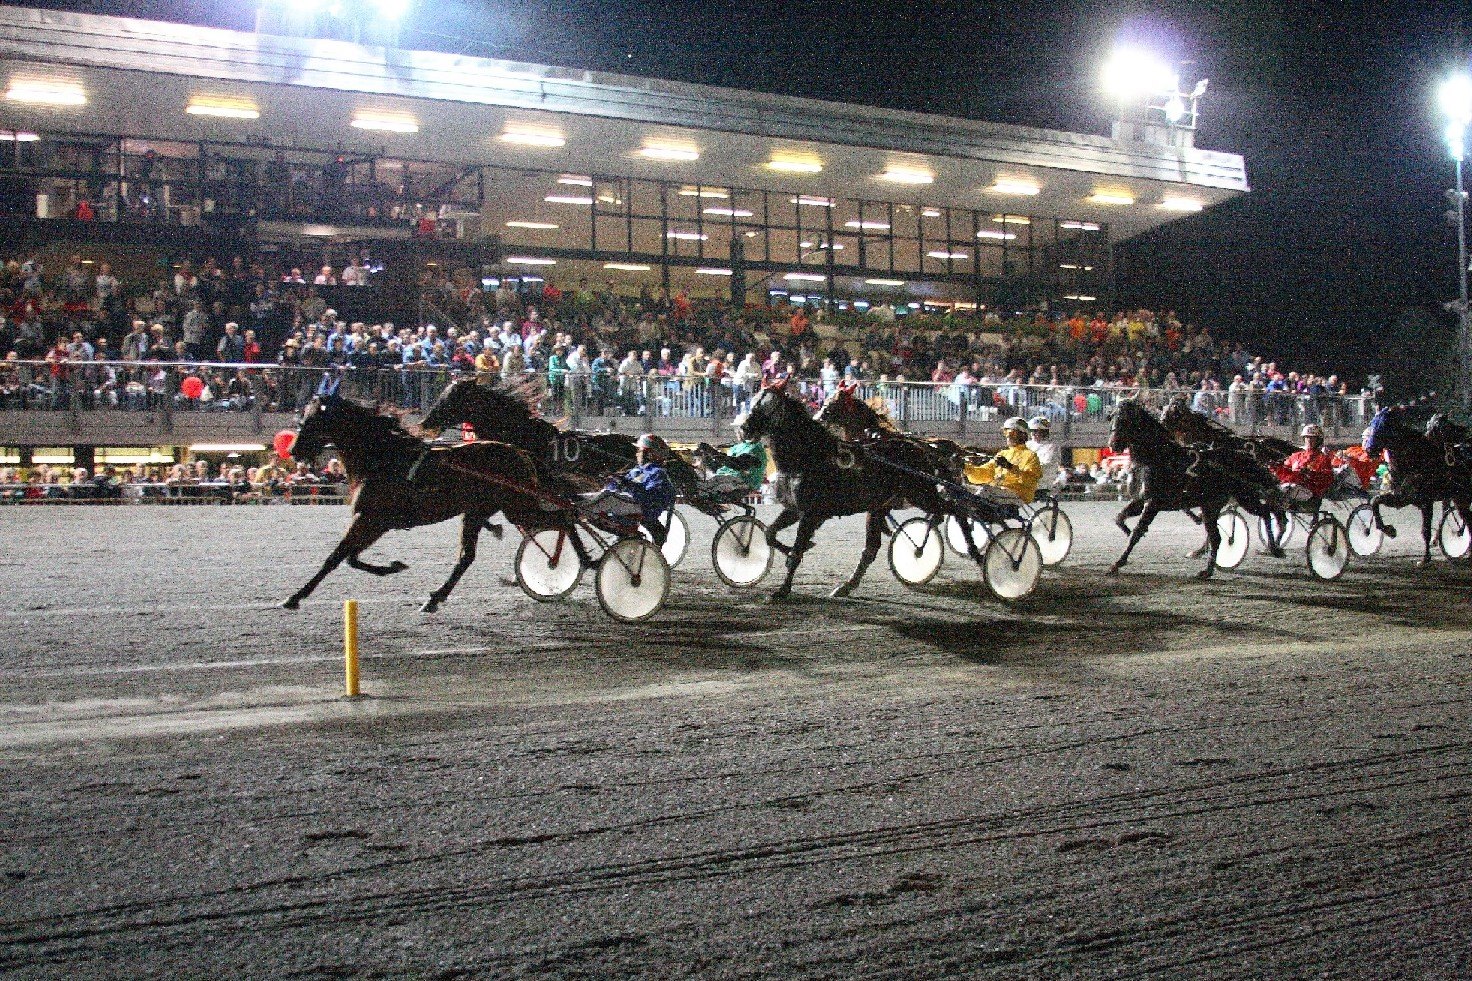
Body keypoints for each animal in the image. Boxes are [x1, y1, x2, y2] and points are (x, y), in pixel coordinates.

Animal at [284, 391, 588, 606]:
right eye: (302, 419)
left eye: (312, 421)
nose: (293, 450)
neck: (383, 458)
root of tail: (521, 452)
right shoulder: (377, 522)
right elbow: (351, 558)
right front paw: (393, 567)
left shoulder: (371, 518)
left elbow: (336, 557)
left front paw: (295, 597)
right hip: (482, 510)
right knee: (468, 556)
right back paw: (436, 597)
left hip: (518, 505)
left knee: (564, 518)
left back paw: (577, 560)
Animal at [741, 380, 971, 595]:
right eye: (753, 401)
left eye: (770, 406)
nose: (744, 428)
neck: (810, 456)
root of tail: (922, 449)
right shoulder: (795, 509)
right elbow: (770, 534)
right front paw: (796, 549)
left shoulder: (811, 514)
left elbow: (796, 551)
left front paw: (783, 589)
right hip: (883, 504)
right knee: (872, 548)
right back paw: (848, 585)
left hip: (921, 495)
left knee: (954, 509)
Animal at [1106, 397, 1283, 577]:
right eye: (1111, 417)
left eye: (1125, 419)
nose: (1113, 444)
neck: (1159, 458)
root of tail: (1246, 455)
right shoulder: (1140, 500)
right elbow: (1119, 518)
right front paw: (1125, 535)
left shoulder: (1153, 503)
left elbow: (1137, 531)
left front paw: (1118, 562)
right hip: (1212, 505)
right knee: (1217, 536)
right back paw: (1208, 570)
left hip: (1245, 497)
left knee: (1266, 512)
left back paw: (1274, 548)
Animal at [1360, 400, 1472, 562]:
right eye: (1372, 423)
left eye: (1384, 425)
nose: (1369, 449)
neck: (1416, 460)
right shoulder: (1402, 497)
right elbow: (1376, 501)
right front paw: (1389, 530)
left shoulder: (1426, 501)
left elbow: (1425, 530)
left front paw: (1425, 558)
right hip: (1459, 499)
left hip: (1462, 498)